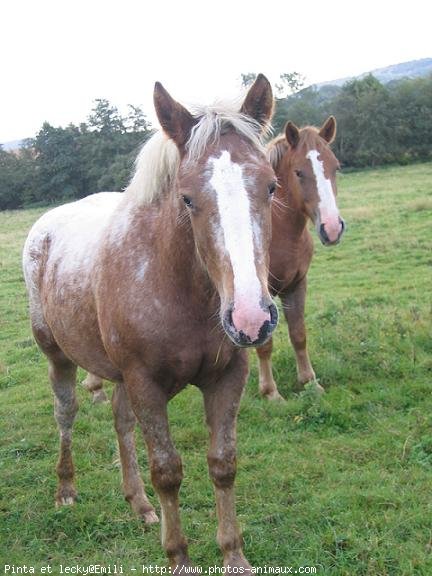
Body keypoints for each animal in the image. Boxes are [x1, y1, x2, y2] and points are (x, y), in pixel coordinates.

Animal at [23, 76, 278, 572]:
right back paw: (66, 489)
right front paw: (178, 557)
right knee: (66, 413)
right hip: (58, 357)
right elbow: (167, 471)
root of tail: (45, 224)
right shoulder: (146, 383)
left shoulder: (227, 375)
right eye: (187, 198)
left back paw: (138, 504)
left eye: (272, 187)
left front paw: (234, 556)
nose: (251, 317)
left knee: (121, 422)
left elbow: (223, 463)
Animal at [256, 117, 344, 400]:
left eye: (336, 167)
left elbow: (298, 334)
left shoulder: (297, 285)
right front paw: (270, 392)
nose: (332, 228)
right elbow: (265, 343)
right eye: (298, 172)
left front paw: (309, 382)